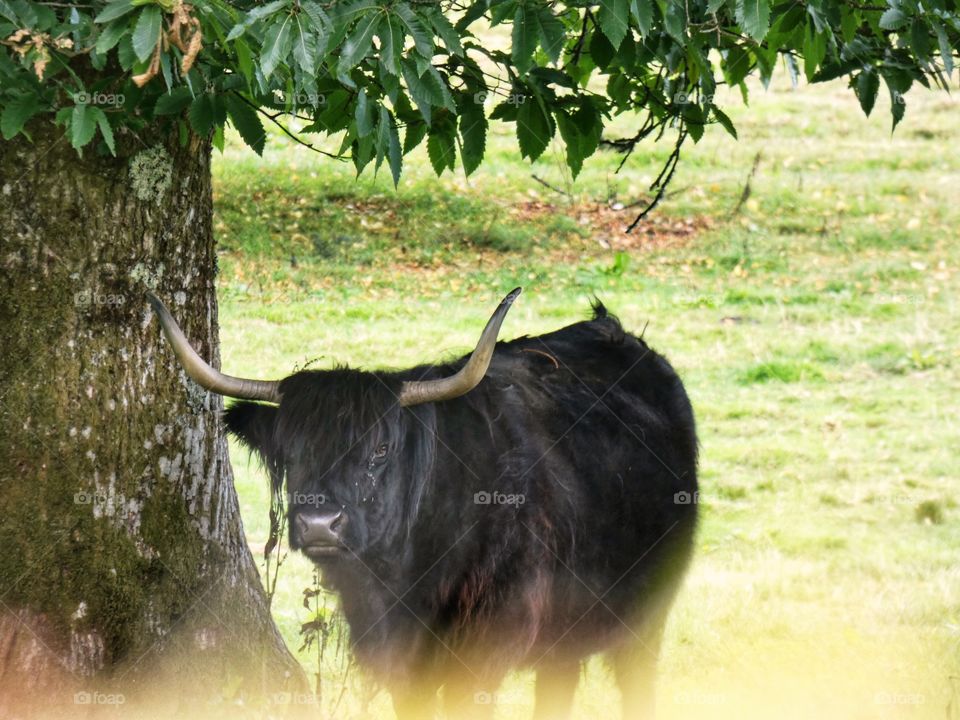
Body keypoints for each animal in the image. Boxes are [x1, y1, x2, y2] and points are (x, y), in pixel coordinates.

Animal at [147, 289, 698, 720]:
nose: (321, 524)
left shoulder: (483, 649)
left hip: (646, 616)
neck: (403, 578)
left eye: (381, 448)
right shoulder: (395, 656)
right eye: (290, 450)